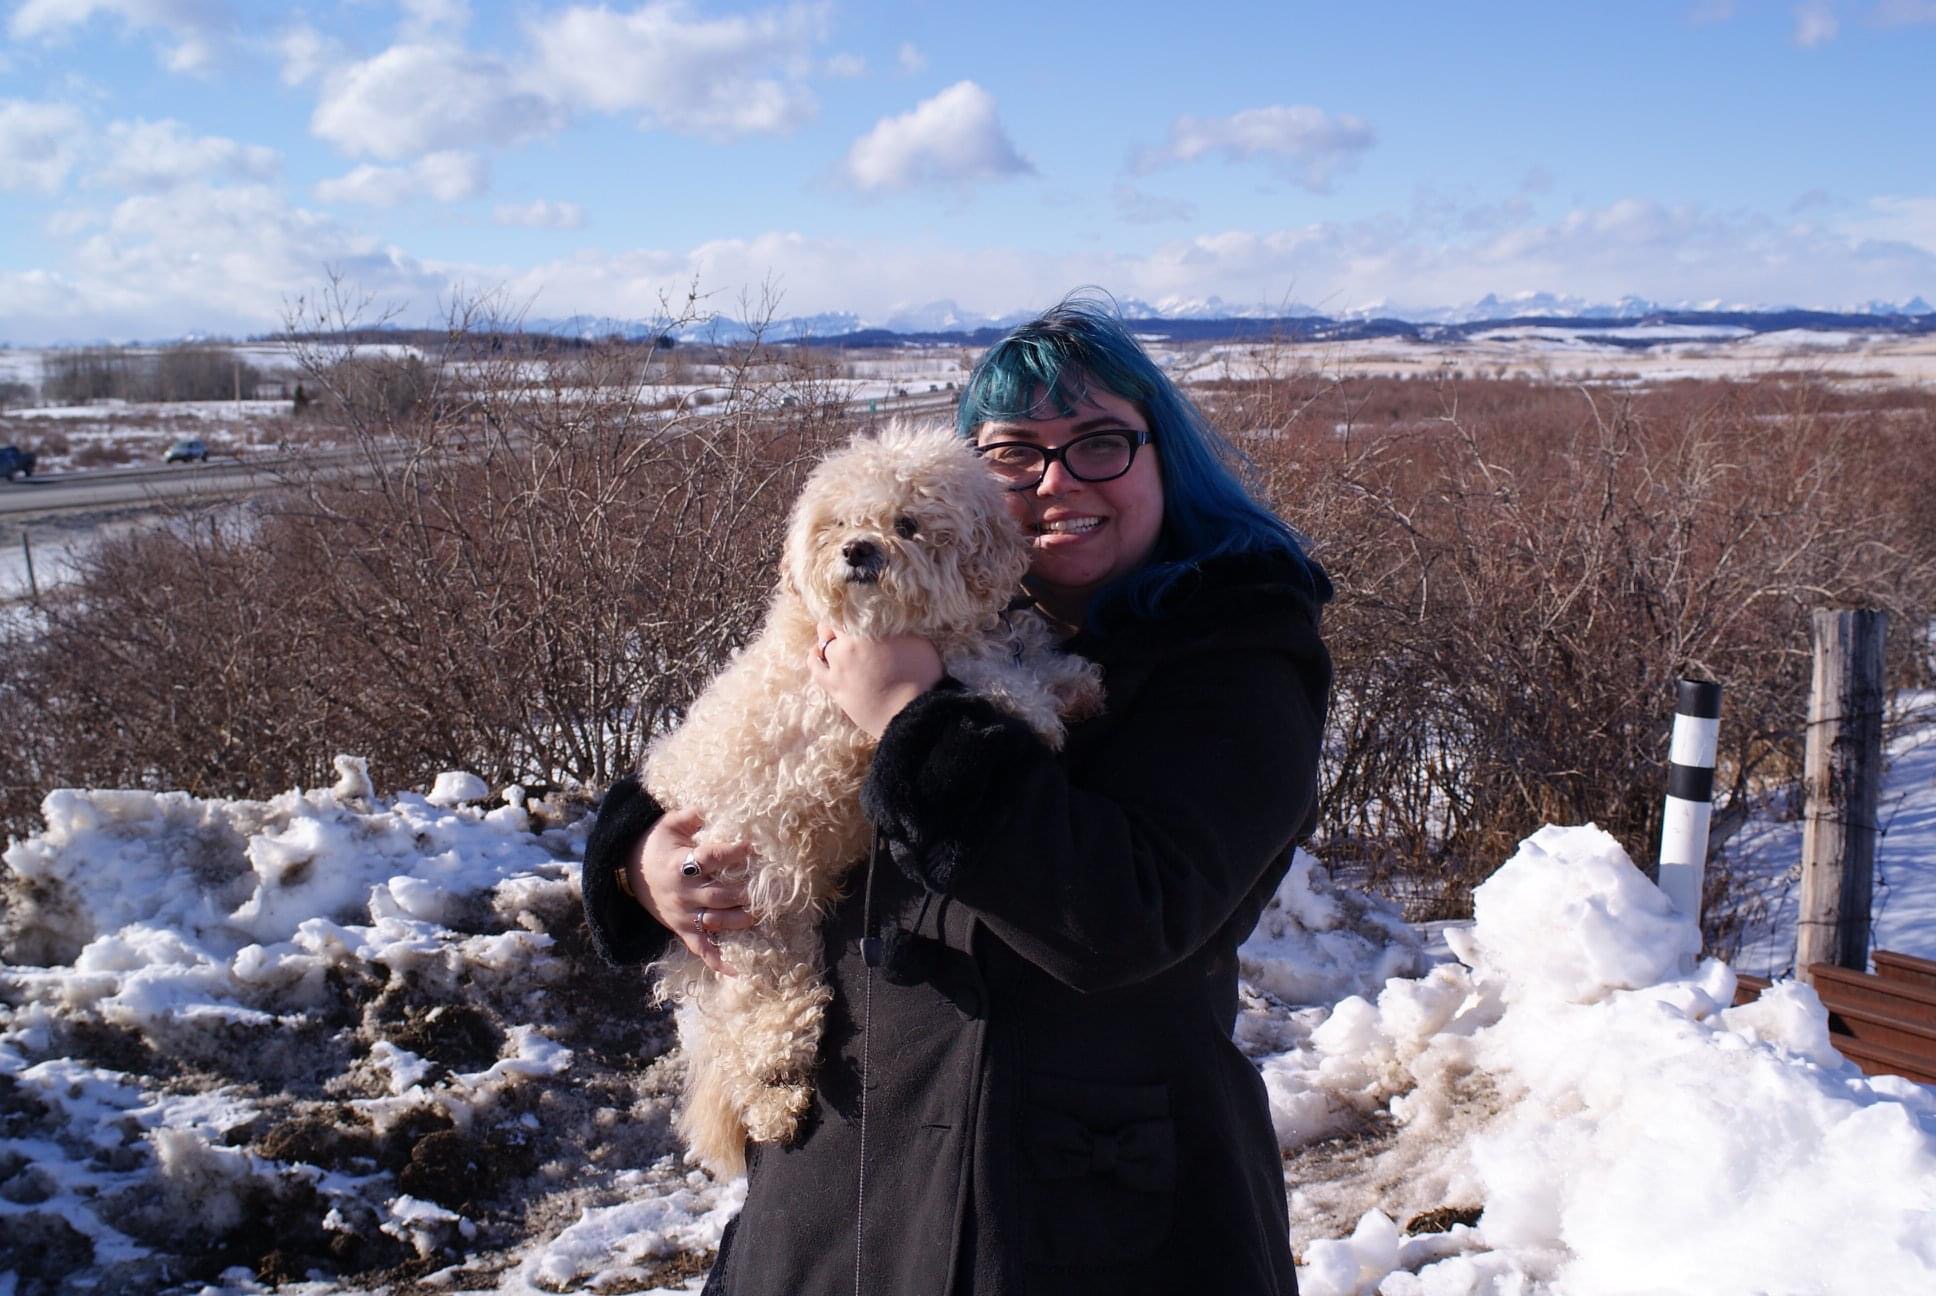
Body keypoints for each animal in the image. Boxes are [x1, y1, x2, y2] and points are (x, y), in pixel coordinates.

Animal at [642, 420, 1103, 1176]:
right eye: (839, 524)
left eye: (908, 524)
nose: (859, 550)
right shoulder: (851, 702)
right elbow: (984, 676)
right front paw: (1036, 704)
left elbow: (1016, 652)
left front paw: (1073, 680)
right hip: (759, 935)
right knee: (762, 1034)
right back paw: (775, 1101)